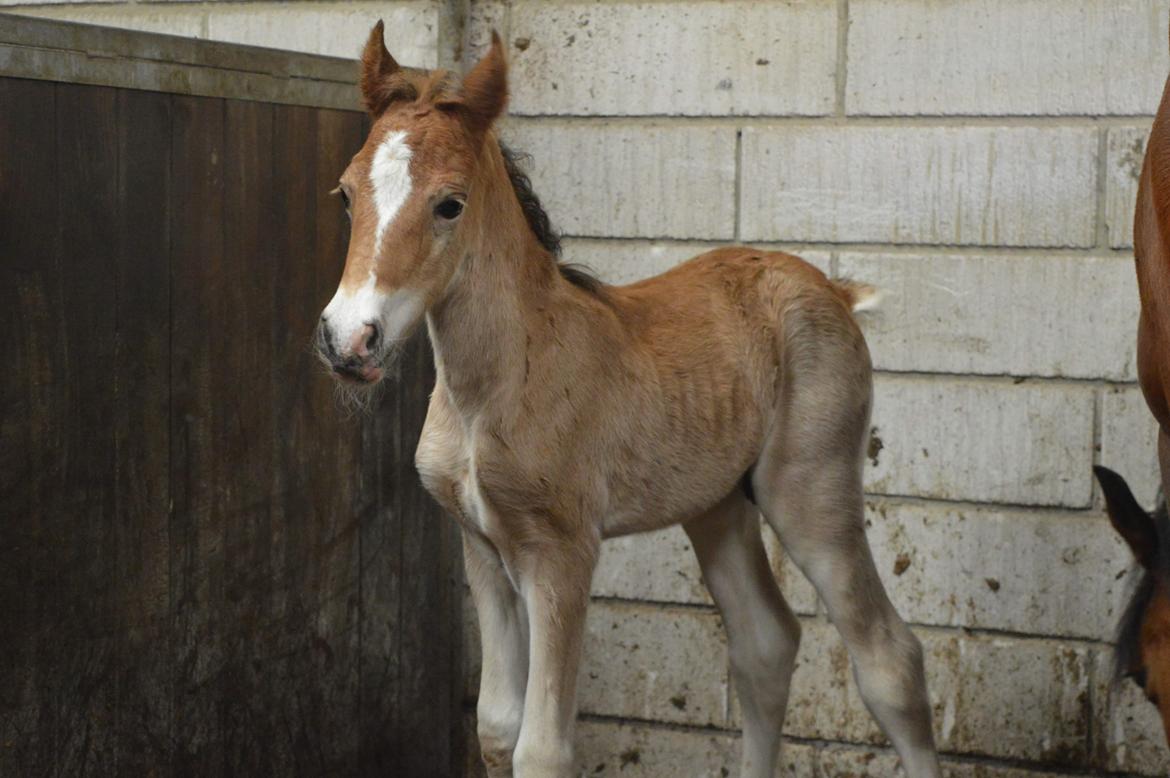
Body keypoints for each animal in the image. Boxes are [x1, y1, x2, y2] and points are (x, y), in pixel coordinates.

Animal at [318, 24, 940, 776]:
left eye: (449, 204)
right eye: (346, 195)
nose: (349, 340)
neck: (493, 389)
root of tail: (833, 289)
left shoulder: (562, 553)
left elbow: (542, 747)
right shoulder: (481, 547)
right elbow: (495, 726)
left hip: (810, 494)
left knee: (888, 660)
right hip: (716, 503)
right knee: (765, 644)